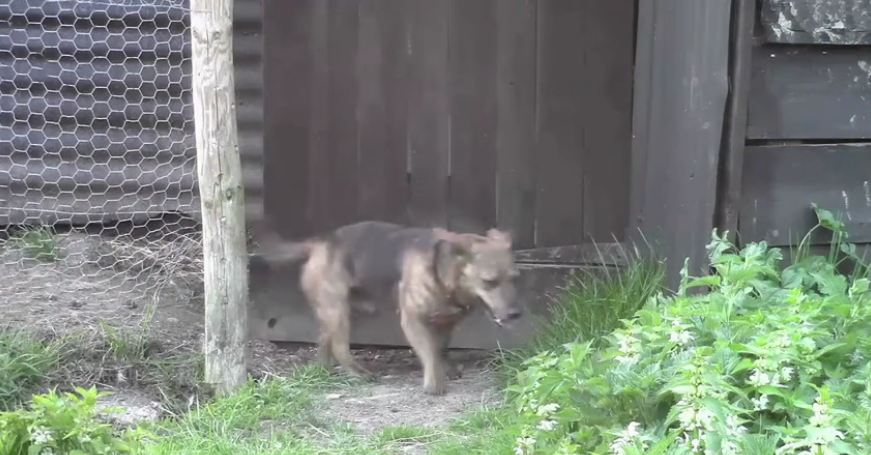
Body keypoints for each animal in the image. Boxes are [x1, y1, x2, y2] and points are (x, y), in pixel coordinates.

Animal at [252, 221, 524, 396]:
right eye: (489, 282)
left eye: (514, 278)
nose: (515, 314)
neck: (444, 274)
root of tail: (320, 243)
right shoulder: (413, 320)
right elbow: (429, 352)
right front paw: (434, 383)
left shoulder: (446, 322)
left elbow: (440, 349)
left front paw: (445, 368)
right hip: (339, 311)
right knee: (340, 346)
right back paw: (359, 373)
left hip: (342, 311)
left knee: (324, 340)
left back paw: (323, 367)